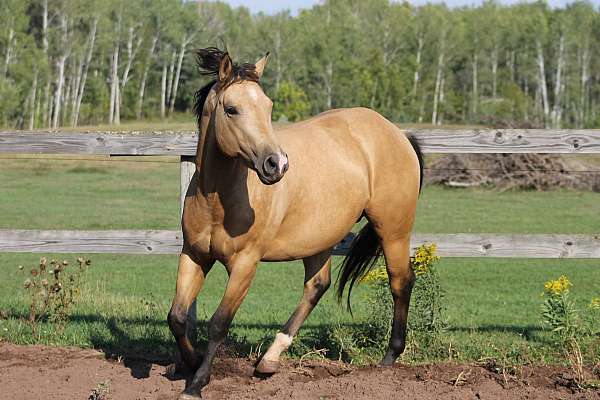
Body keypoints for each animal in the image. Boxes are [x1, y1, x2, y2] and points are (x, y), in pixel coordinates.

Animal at [166, 47, 424, 396]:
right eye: (231, 109)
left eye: (268, 106)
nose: (276, 164)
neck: (216, 200)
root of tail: (398, 133)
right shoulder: (194, 255)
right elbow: (177, 317)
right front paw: (190, 364)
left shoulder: (245, 264)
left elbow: (219, 322)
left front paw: (196, 383)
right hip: (321, 237)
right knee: (317, 286)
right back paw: (269, 360)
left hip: (394, 230)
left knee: (400, 281)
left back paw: (388, 359)